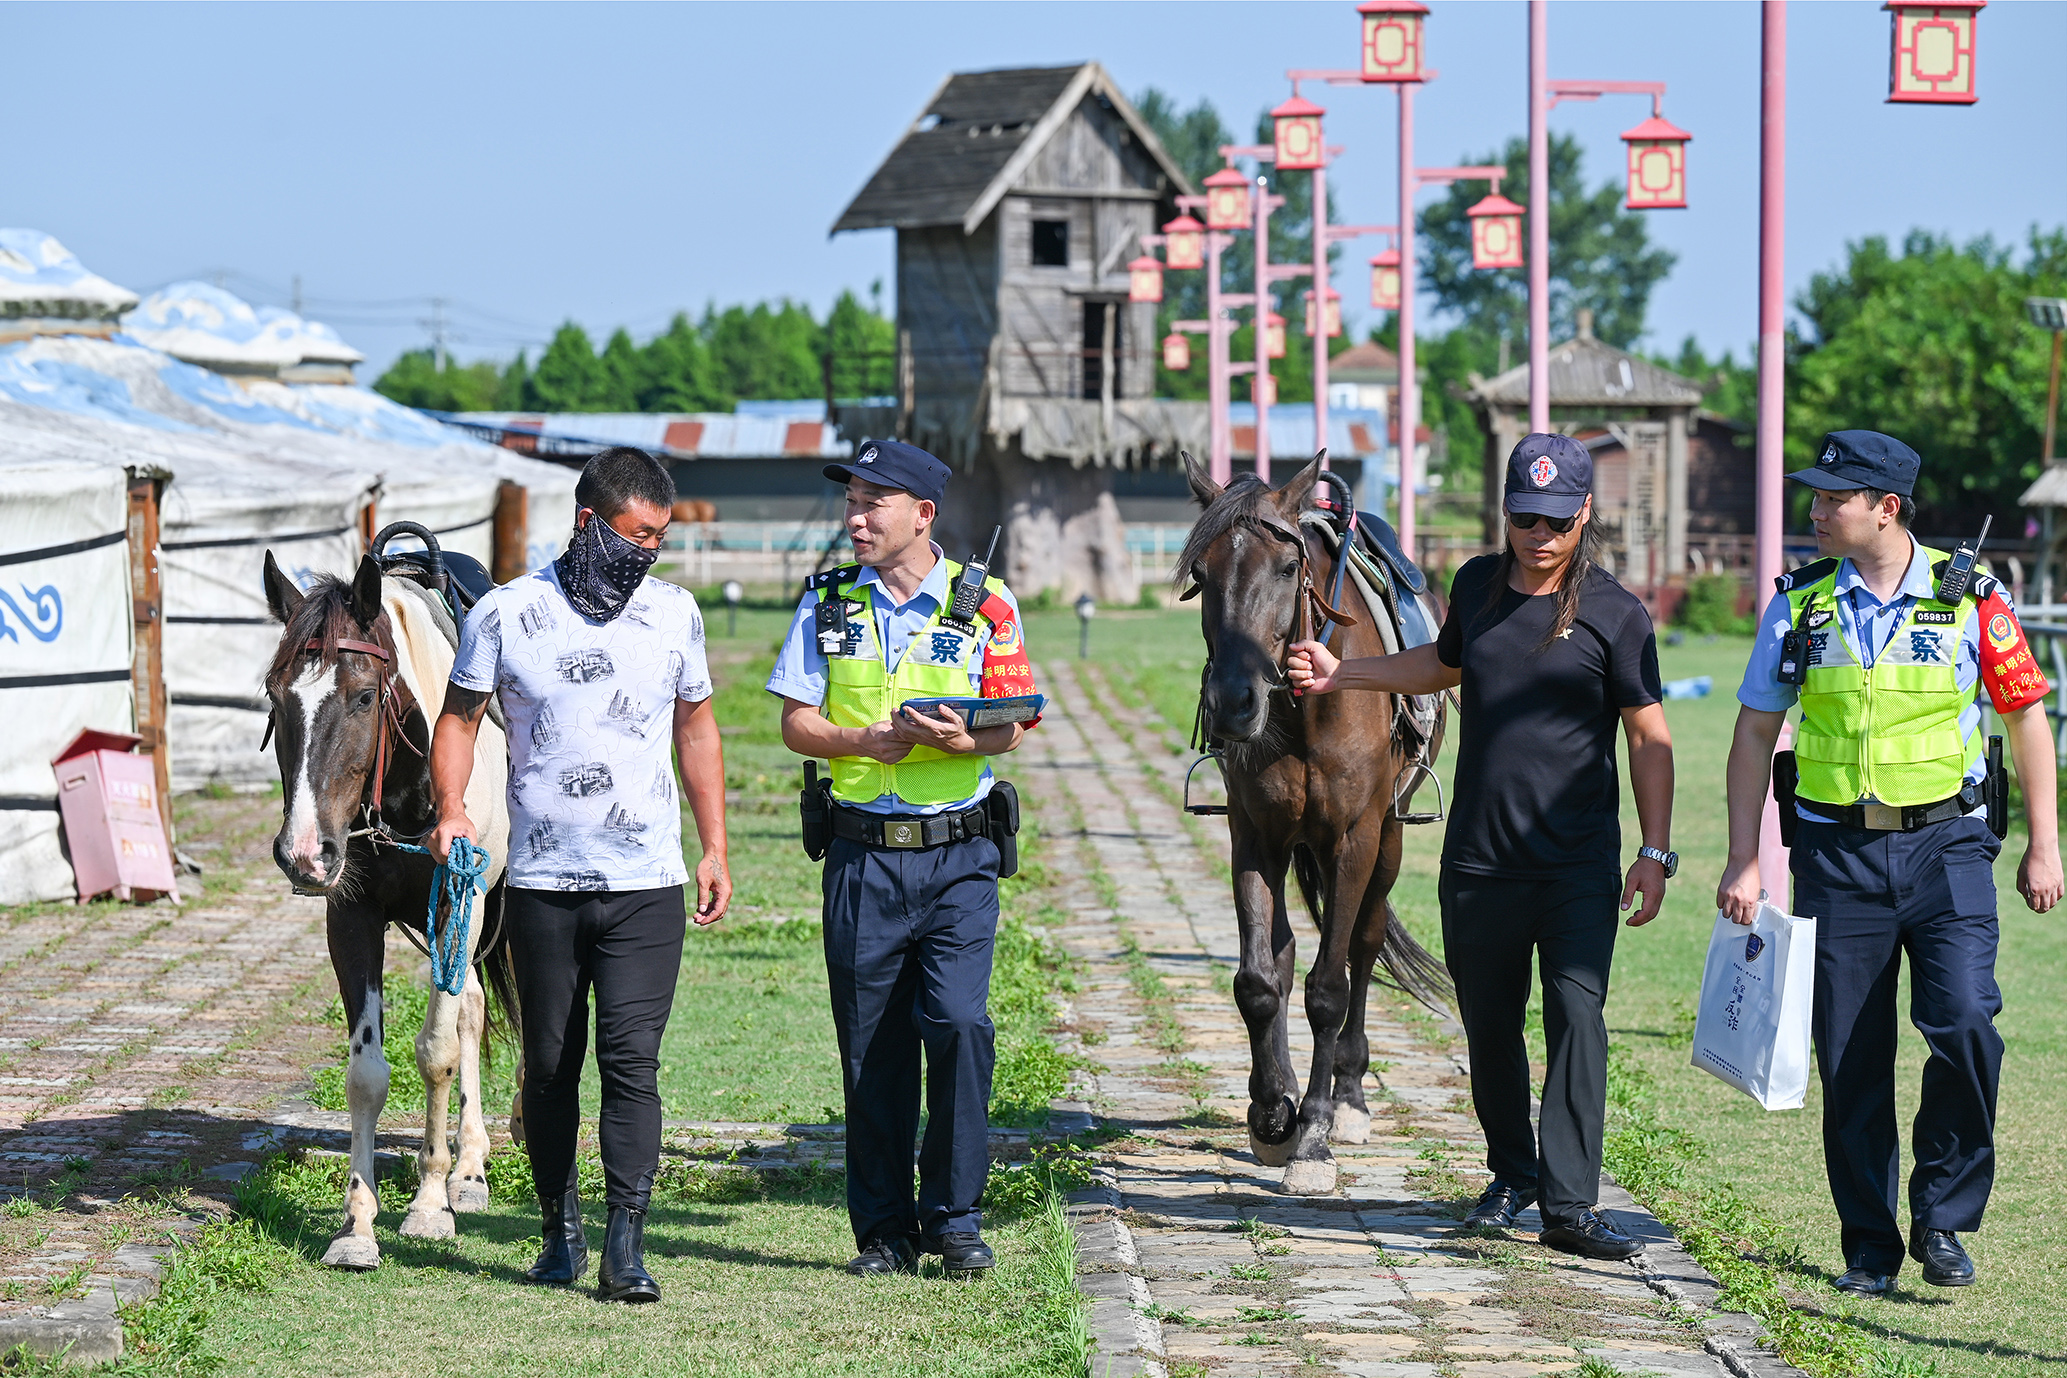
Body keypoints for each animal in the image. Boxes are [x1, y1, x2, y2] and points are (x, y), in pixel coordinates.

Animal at [260, 547, 519, 1270]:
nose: (302, 852)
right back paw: (469, 1163)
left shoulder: (460, 901)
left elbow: (436, 1054)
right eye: (275, 697)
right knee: (473, 1010)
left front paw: (429, 1205)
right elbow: (367, 1074)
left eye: (364, 696)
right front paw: (357, 1225)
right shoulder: (350, 917)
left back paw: (468, 1170)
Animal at [1179, 452, 1454, 1195]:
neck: (1303, 707)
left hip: (1387, 839)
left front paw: (1314, 1135)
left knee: (1362, 943)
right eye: (1201, 573)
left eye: (1284, 567)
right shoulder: (1254, 833)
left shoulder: (1354, 838)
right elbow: (1258, 978)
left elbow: (1329, 988)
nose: (1233, 702)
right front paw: (1272, 1114)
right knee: (1284, 952)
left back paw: (1350, 1100)